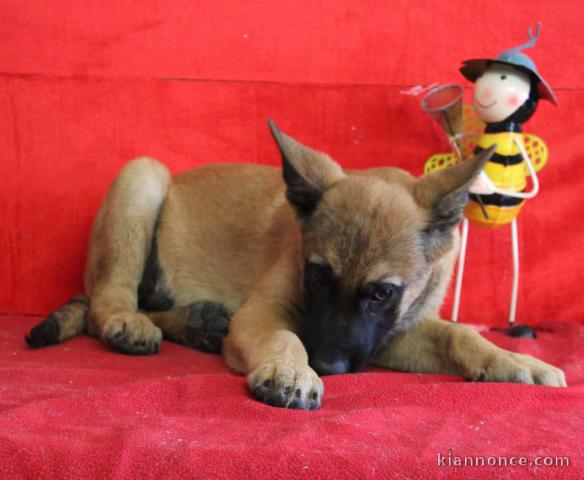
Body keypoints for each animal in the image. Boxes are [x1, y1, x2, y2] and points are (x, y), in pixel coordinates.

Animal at [27, 120, 564, 408]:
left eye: (383, 293)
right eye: (317, 276)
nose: (326, 365)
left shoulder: (386, 335)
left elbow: (457, 335)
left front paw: (513, 361)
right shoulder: (262, 314)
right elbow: (285, 335)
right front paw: (292, 371)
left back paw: (199, 323)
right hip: (143, 175)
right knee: (106, 303)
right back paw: (131, 322)